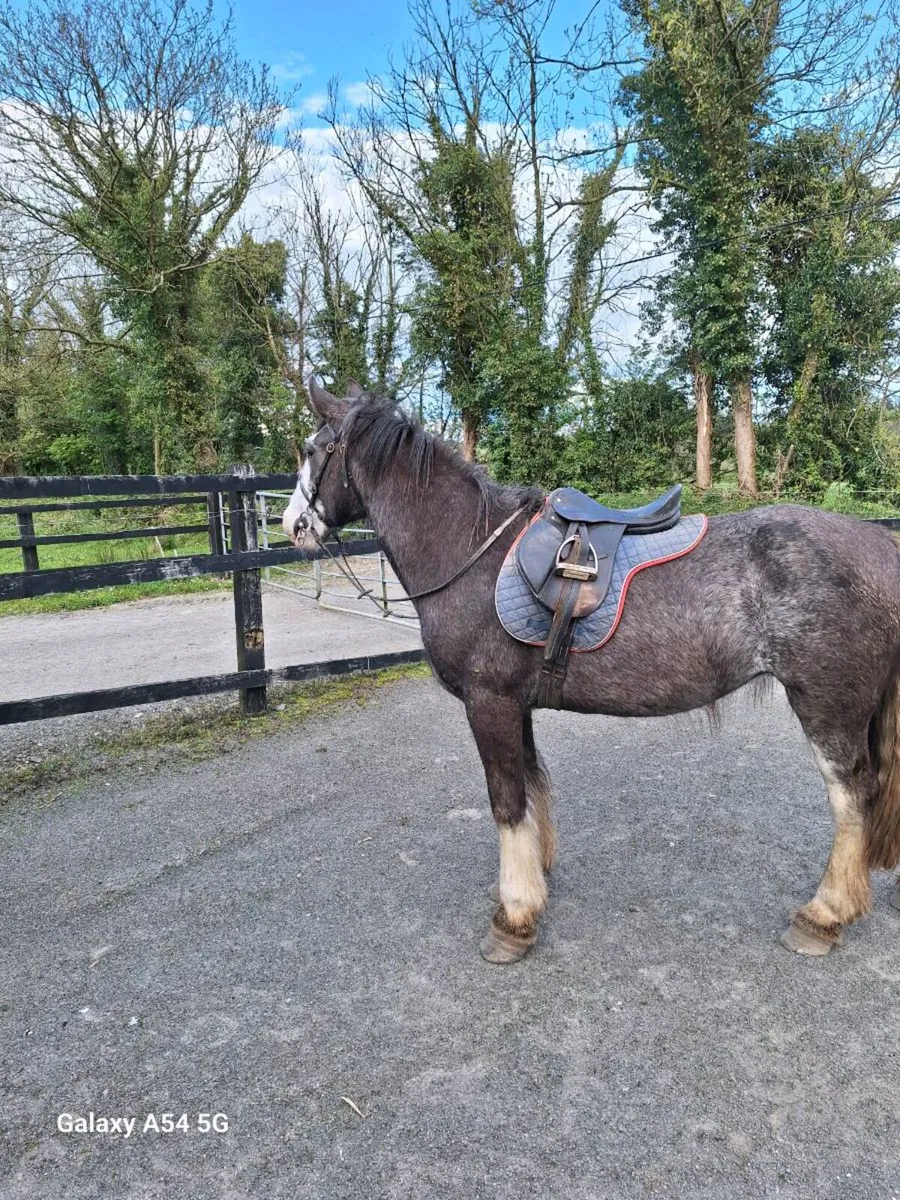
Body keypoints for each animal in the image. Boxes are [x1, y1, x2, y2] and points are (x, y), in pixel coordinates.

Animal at [282, 379, 900, 965]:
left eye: (313, 450)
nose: (292, 525)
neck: (472, 551)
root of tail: (880, 541)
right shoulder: (515, 705)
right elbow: (532, 787)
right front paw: (533, 884)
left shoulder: (489, 703)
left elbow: (506, 802)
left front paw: (514, 917)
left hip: (827, 708)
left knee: (852, 797)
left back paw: (824, 915)